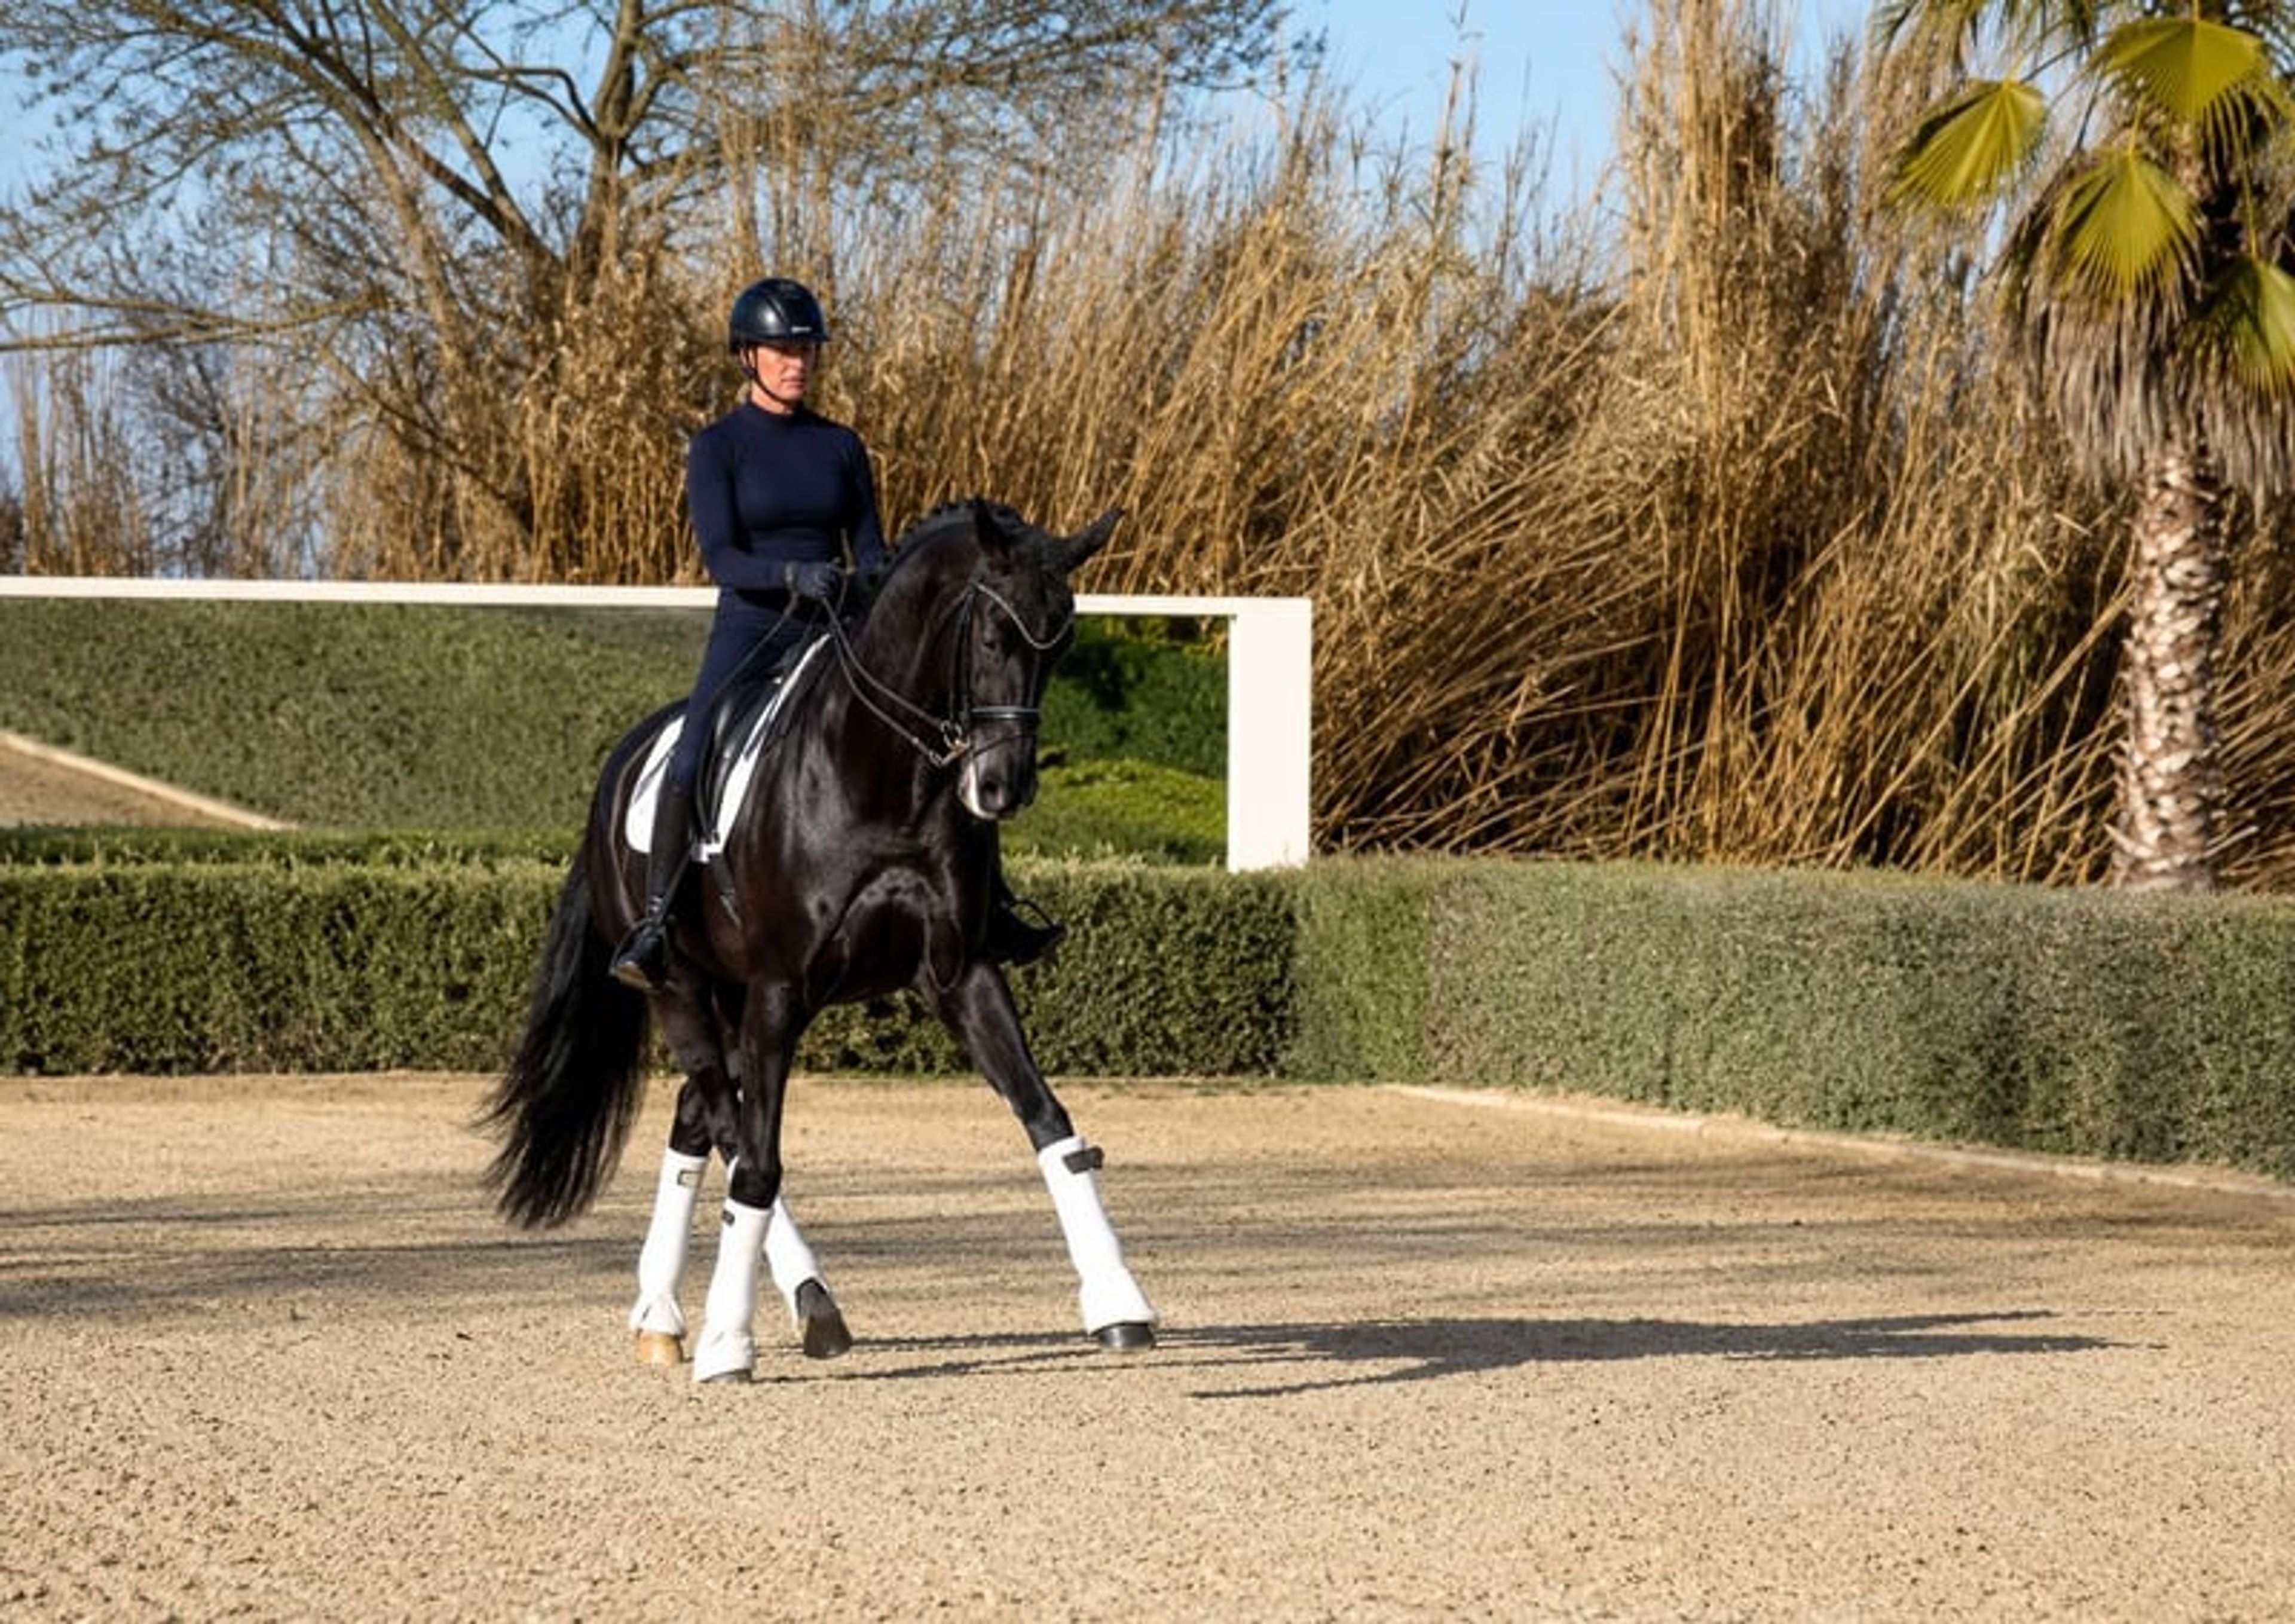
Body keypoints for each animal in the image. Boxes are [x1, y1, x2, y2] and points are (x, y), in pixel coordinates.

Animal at [483, 499, 1156, 1383]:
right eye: (989, 637)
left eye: (1064, 641)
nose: (1002, 788)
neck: (886, 780)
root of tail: (622, 765)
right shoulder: (779, 990)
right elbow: (760, 1161)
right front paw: (731, 1343)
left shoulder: (961, 972)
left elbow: (1049, 1120)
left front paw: (1119, 1301)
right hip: (682, 988)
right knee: (726, 1124)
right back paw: (789, 1302)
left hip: (727, 997)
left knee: (697, 1116)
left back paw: (664, 1314)